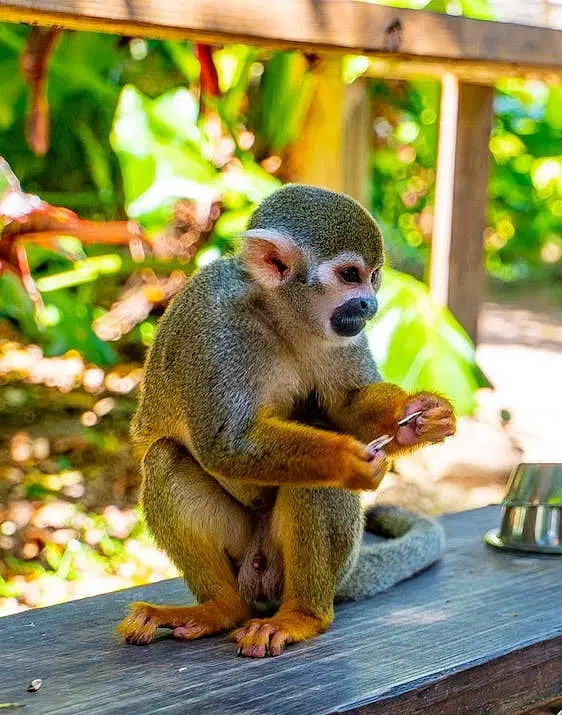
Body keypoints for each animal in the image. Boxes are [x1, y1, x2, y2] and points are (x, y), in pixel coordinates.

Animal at [118, 184, 455, 658]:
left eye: (374, 276)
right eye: (350, 275)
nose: (370, 304)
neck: (278, 315)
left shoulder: (342, 332)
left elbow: (347, 405)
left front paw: (414, 417)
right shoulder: (217, 329)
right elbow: (226, 442)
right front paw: (346, 459)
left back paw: (301, 614)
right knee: (167, 457)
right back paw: (224, 609)